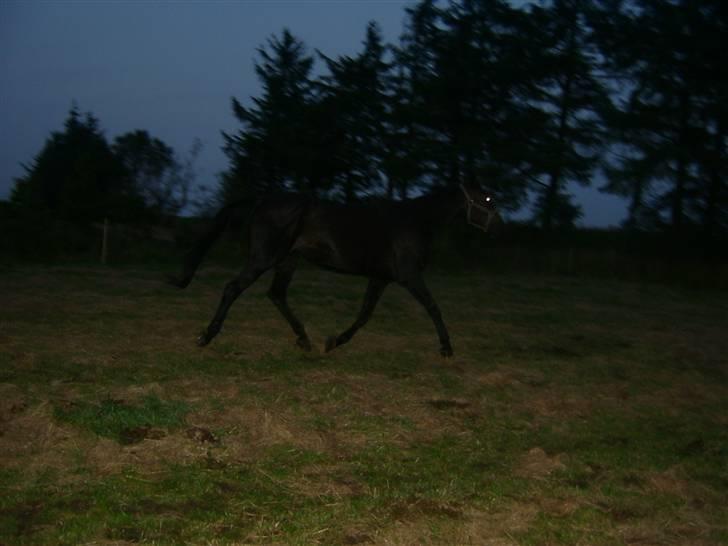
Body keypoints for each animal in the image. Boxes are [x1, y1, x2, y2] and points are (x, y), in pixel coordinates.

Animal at [169, 181, 500, 354]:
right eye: (486, 198)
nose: (499, 226)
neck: (415, 222)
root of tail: (262, 199)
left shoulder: (381, 278)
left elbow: (365, 314)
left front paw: (334, 341)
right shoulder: (409, 276)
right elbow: (433, 307)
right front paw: (446, 347)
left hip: (287, 261)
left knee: (277, 295)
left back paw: (304, 339)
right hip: (264, 258)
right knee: (233, 288)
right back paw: (206, 336)